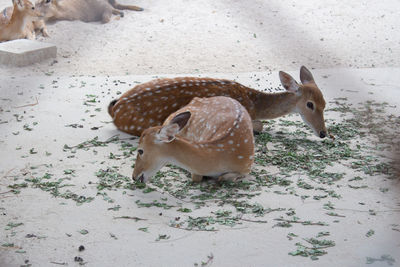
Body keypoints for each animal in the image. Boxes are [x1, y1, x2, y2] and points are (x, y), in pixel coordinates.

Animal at [108, 66, 328, 139]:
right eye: (310, 104)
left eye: (325, 103)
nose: (324, 133)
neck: (255, 104)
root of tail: (115, 110)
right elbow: (261, 126)